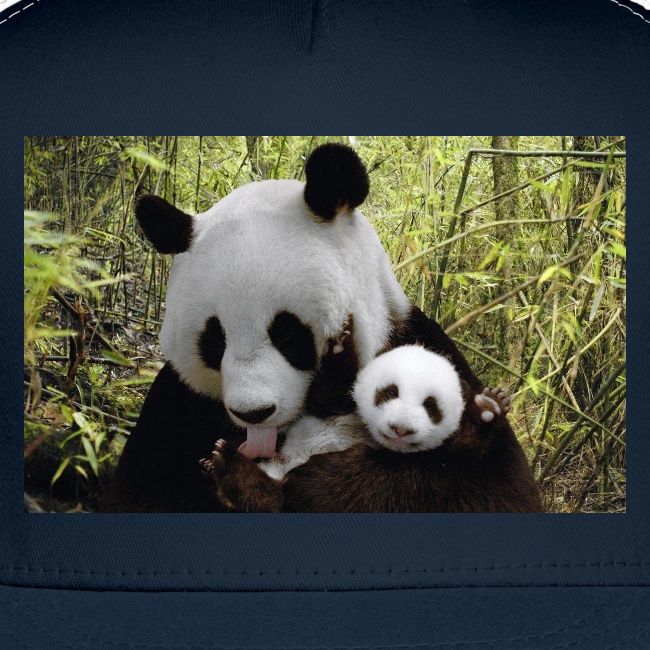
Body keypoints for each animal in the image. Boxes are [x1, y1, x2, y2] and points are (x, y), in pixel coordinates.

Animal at [99, 143, 540, 513]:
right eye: (215, 340)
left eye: (287, 333)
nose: (254, 413)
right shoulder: (178, 405)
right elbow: (139, 494)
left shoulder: (422, 347)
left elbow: (488, 488)